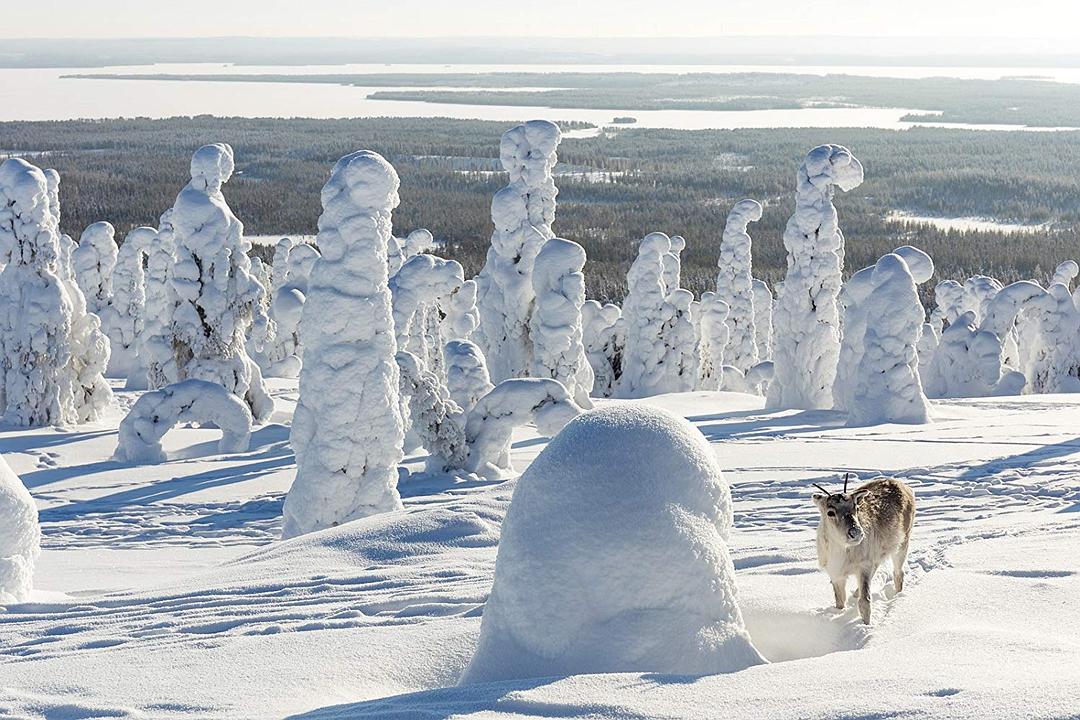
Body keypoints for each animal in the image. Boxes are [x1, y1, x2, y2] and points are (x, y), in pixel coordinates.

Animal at [812, 474, 915, 621]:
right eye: (830, 512)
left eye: (856, 508)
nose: (855, 532)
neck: (842, 550)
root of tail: (906, 487)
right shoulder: (835, 573)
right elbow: (840, 602)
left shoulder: (864, 566)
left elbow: (865, 602)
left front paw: (866, 624)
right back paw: (855, 593)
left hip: (903, 544)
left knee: (898, 573)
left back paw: (897, 597)